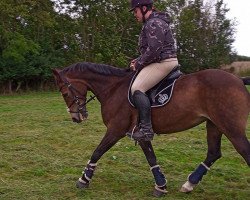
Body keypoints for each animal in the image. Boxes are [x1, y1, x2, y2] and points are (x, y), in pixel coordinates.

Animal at [51, 62, 249, 197]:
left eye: (64, 93)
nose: (76, 118)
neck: (113, 88)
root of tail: (239, 80)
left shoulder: (115, 130)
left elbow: (97, 152)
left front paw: (83, 180)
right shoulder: (141, 134)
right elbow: (151, 158)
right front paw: (161, 186)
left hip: (231, 129)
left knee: (243, 151)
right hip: (214, 125)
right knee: (213, 153)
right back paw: (189, 184)